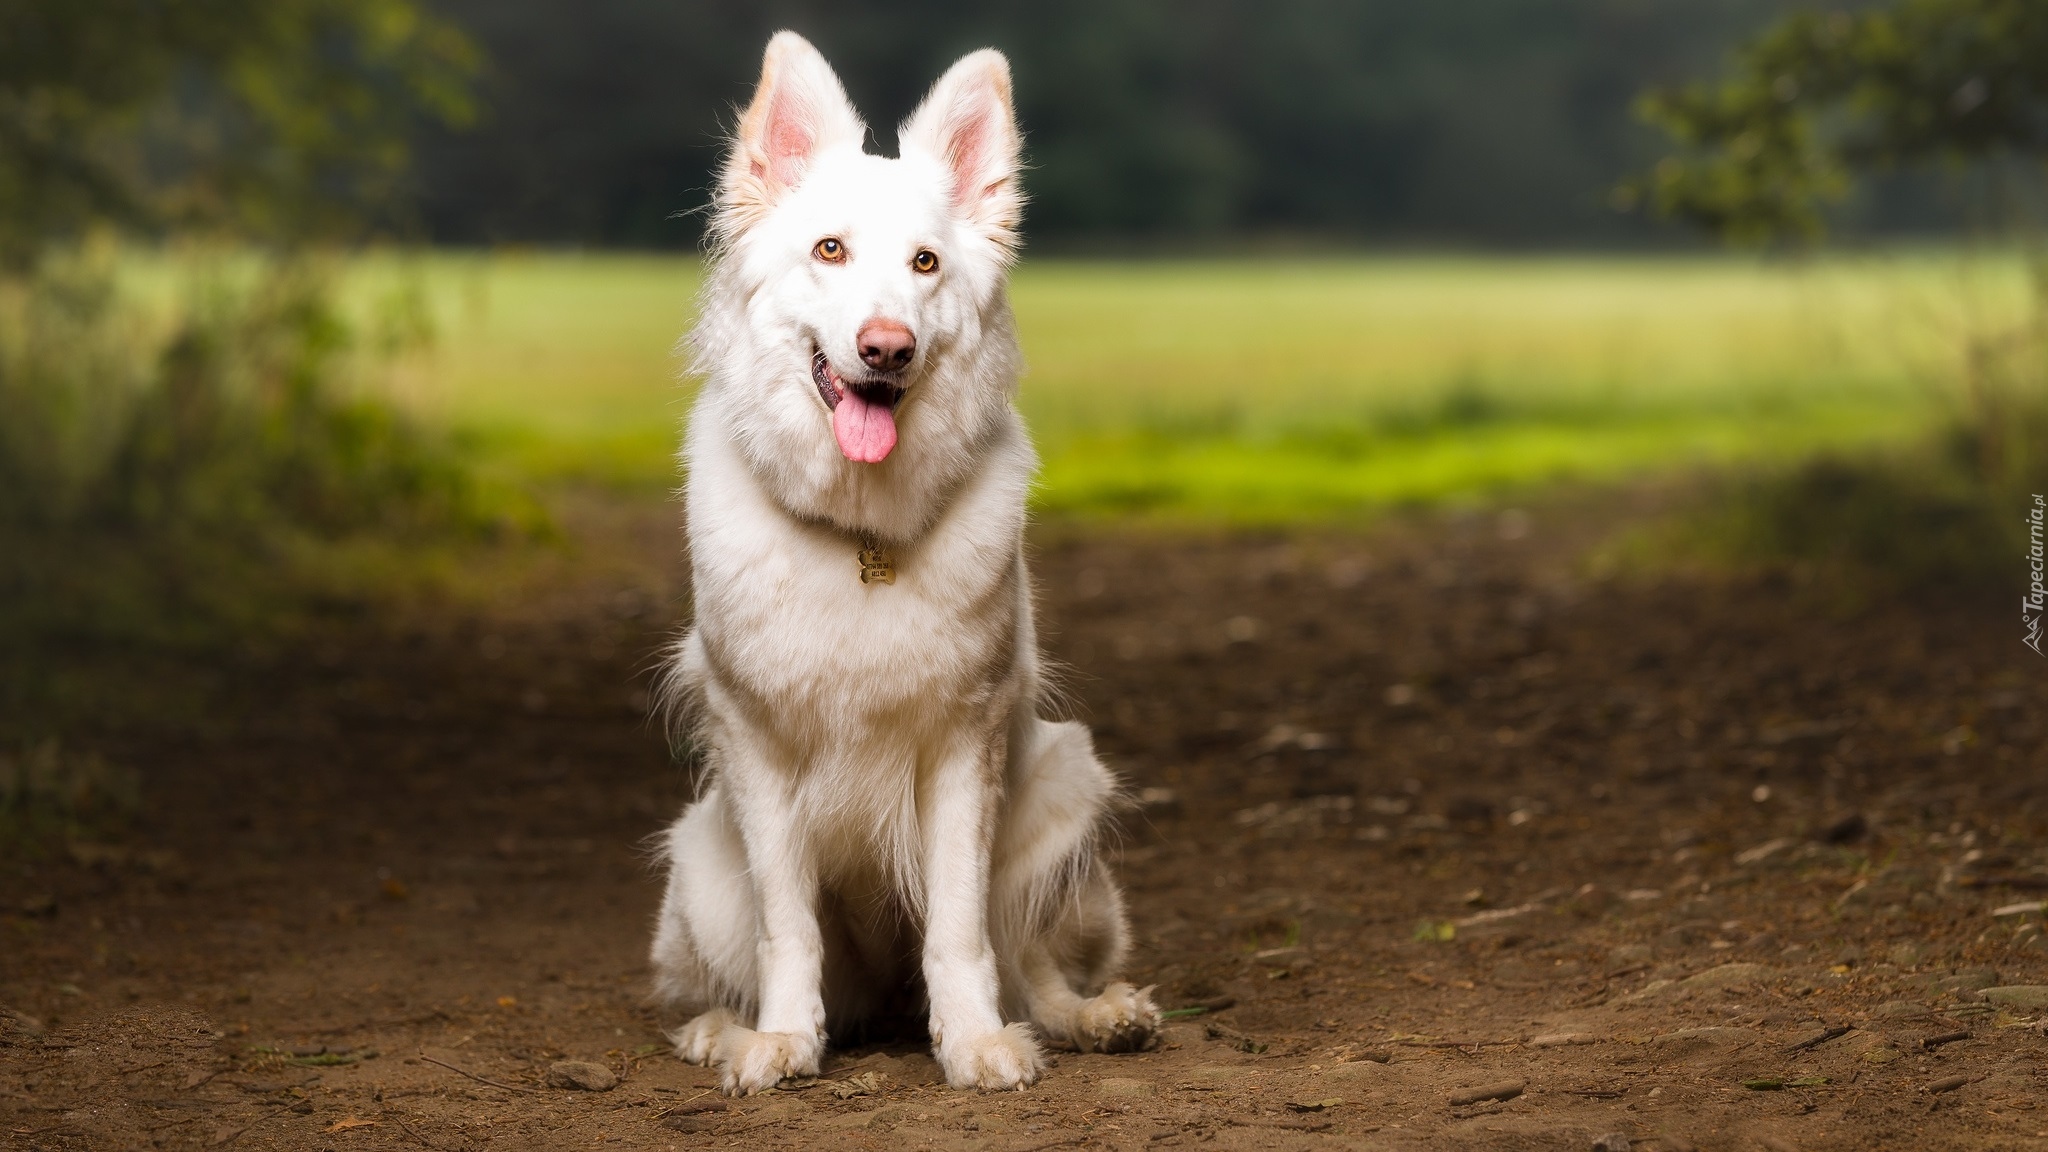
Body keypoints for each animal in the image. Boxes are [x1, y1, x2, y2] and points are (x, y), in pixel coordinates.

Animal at [655, 31, 1171, 1090]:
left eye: (925, 264)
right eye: (830, 250)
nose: (886, 348)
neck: (861, 537)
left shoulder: (964, 751)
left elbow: (961, 932)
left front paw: (973, 1041)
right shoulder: (758, 750)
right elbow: (788, 928)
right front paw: (781, 1040)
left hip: (1063, 792)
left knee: (1031, 969)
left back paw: (1096, 1017)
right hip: (702, 867)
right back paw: (724, 1031)